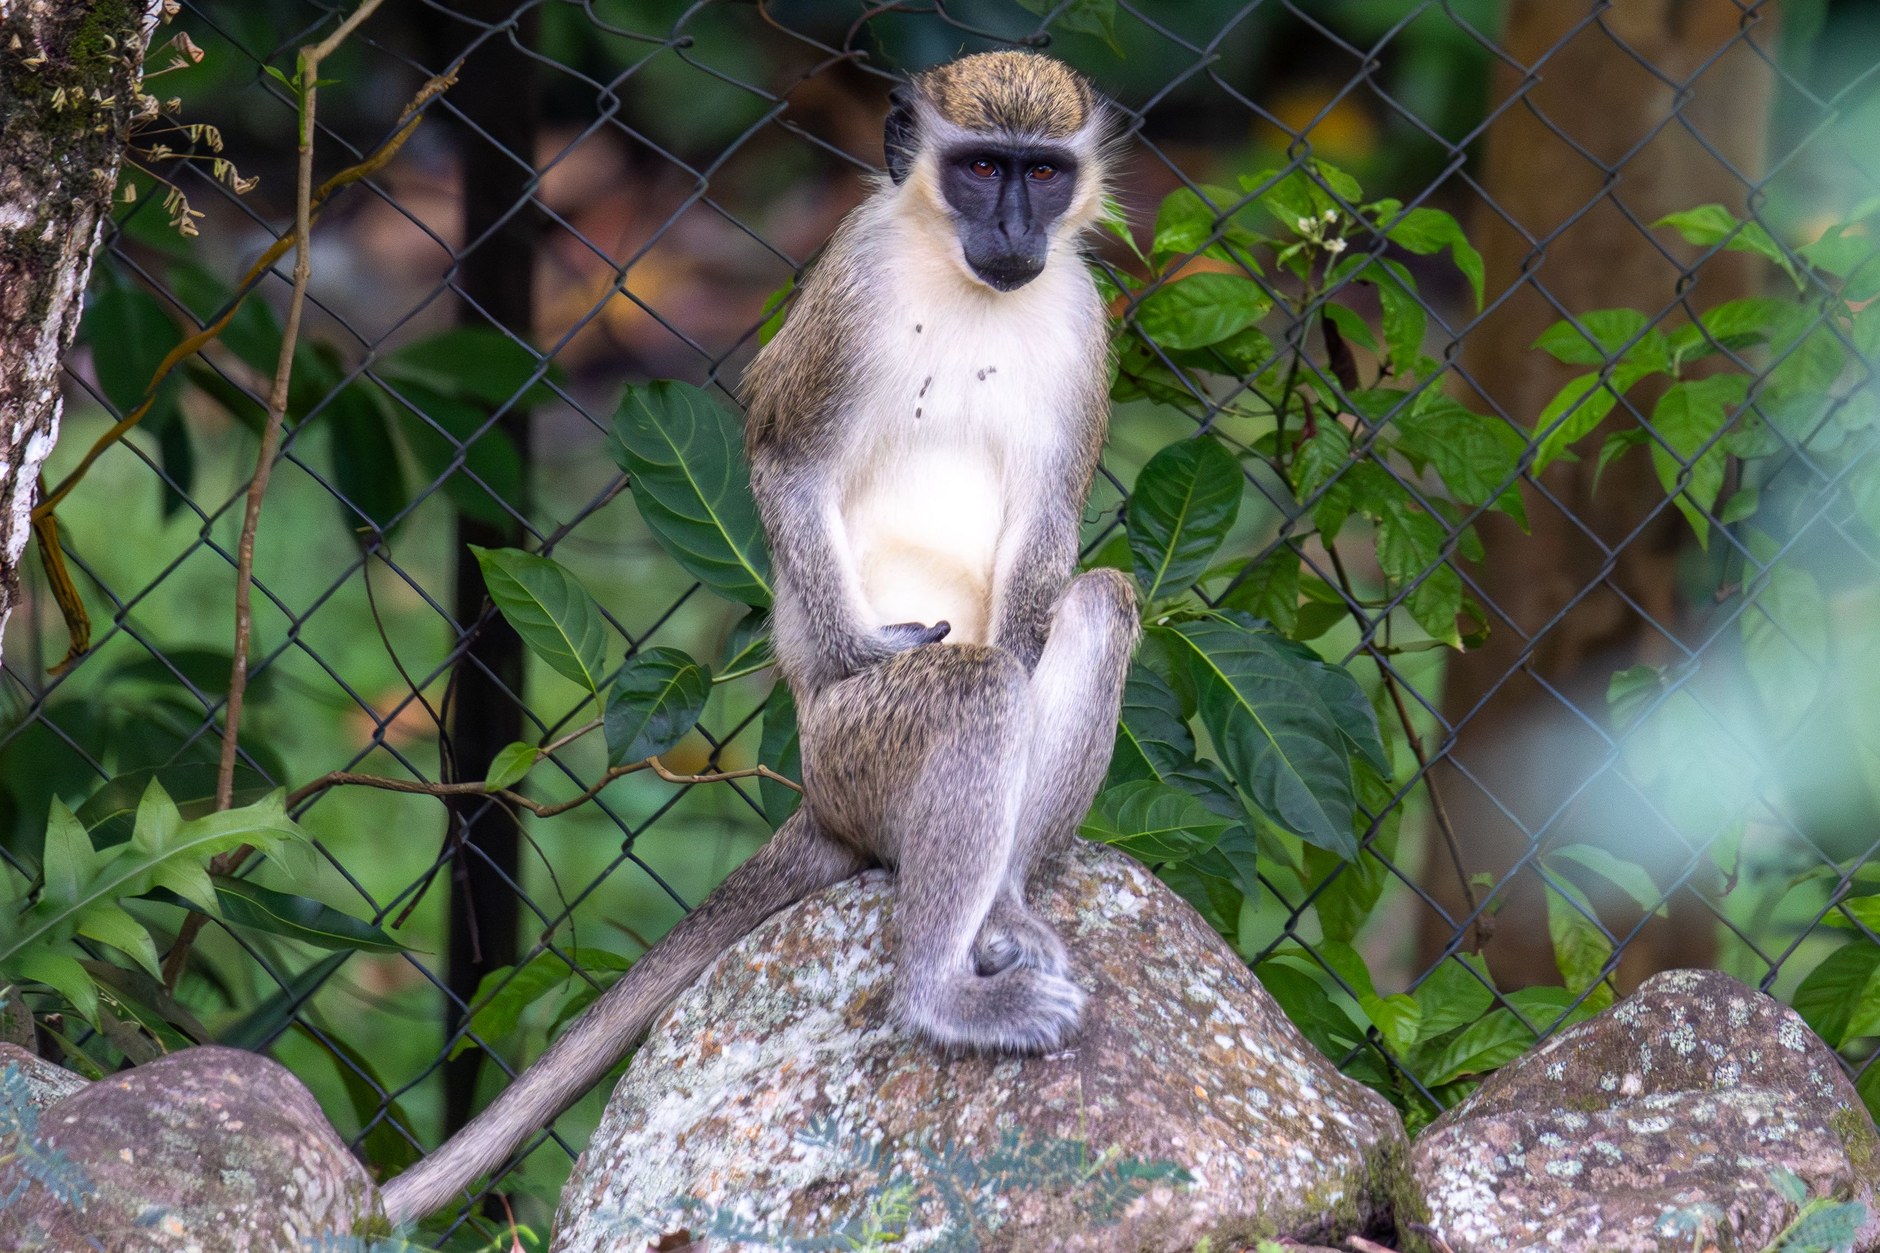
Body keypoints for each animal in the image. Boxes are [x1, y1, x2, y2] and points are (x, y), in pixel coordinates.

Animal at [380, 50, 1138, 1226]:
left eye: (1043, 173)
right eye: (979, 168)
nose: (1017, 229)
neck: (960, 279)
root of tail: (819, 799)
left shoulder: (1085, 319)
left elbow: (1054, 528)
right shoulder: (849, 283)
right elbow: (787, 456)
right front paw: (859, 646)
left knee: (1094, 603)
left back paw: (1004, 899)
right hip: (853, 753)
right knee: (970, 688)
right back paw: (941, 989)